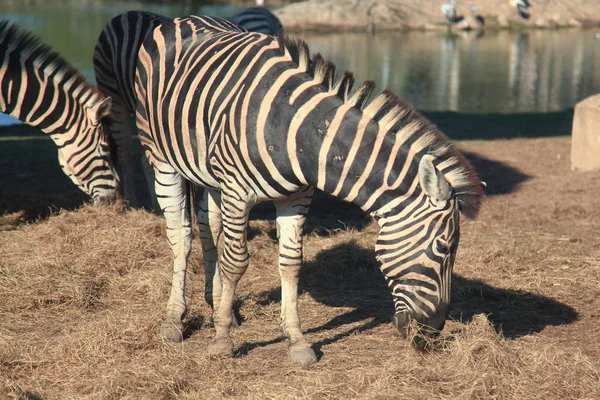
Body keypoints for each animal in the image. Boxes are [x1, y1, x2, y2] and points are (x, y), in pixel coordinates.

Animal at [135, 16, 482, 366]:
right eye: (444, 247)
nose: (432, 334)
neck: (300, 134)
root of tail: (185, 19)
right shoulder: (236, 192)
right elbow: (235, 262)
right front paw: (222, 341)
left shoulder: (296, 197)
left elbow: (291, 263)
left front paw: (297, 341)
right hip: (161, 159)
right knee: (181, 238)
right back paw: (174, 321)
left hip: (209, 176)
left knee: (210, 230)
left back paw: (221, 307)